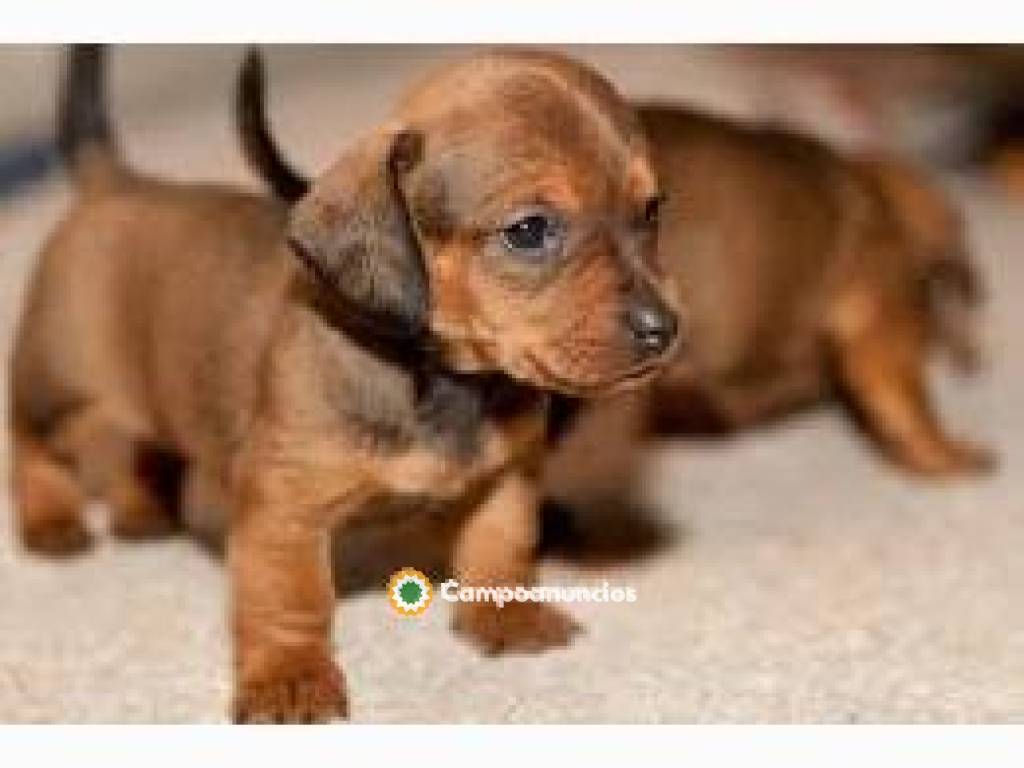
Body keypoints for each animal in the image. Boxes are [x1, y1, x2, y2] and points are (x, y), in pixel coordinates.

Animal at [9, 46, 679, 720]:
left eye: (650, 211)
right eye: (530, 230)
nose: (665, 331)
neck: (443, 381)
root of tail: (117, 183)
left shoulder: (508, 473)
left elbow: (501, 546)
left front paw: (505, 618)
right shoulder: (285, 508)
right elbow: (291, 600)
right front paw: (290, 676)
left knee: (150, 447)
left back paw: (141, 508)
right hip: (56, 390)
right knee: (29, 442)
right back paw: (49, 519)